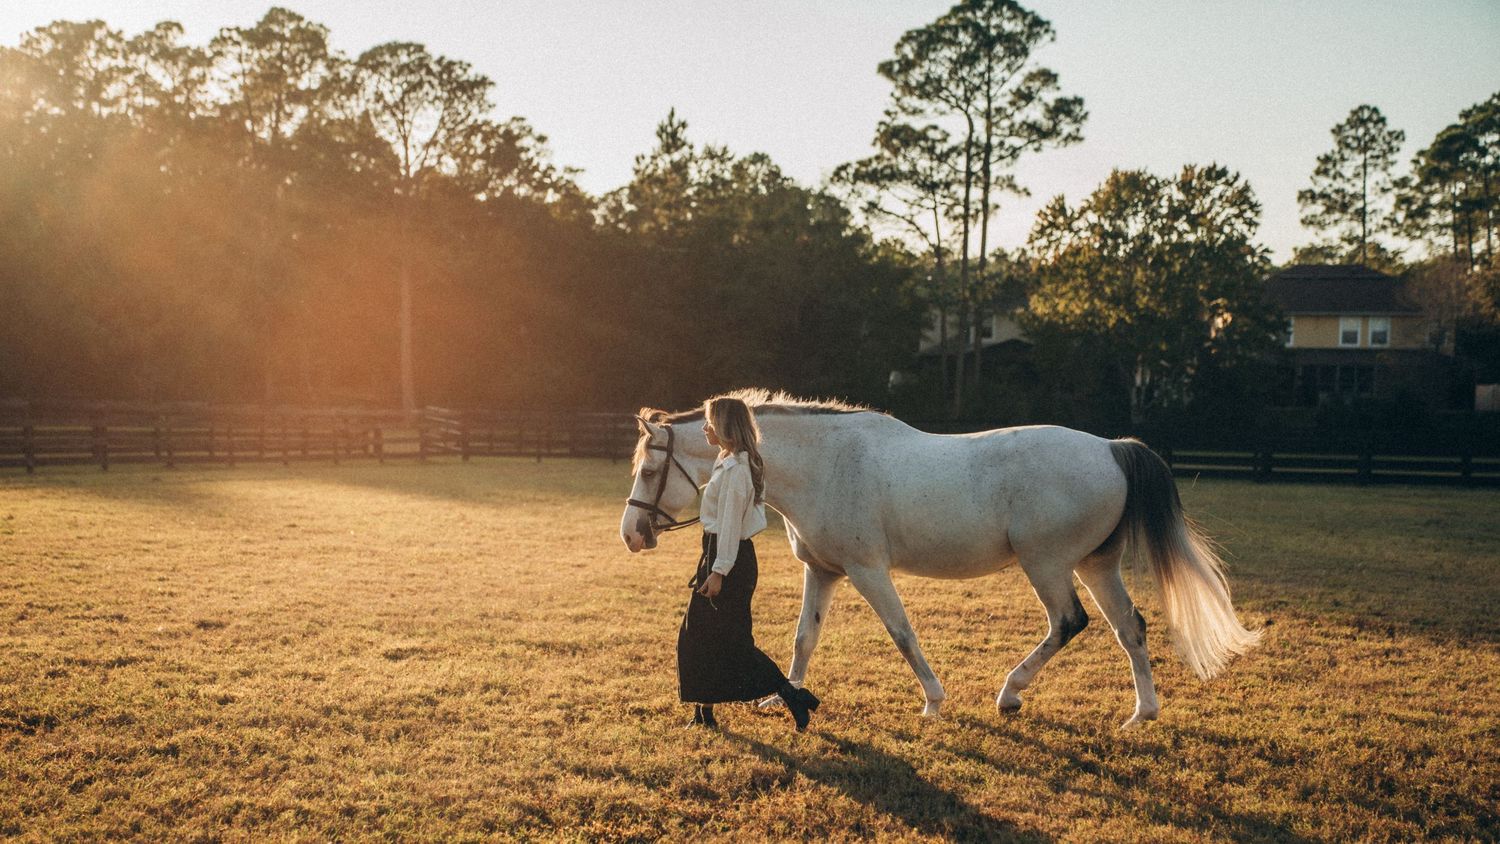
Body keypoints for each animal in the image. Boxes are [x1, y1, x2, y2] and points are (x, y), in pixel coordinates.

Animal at [619, 389, 1260, 728]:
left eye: (650, 469)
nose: (631, 535)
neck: (827, 466)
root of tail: (1110, 447)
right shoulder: (822, 571)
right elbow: (805, 638)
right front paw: (786, 697)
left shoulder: (868, 571)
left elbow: (902, 632)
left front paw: (932, 701)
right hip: (1096, 565)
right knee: (1130, 626)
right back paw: (1141, 714)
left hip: (1048, 564)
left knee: (1068, 622)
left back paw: (1010, 694)